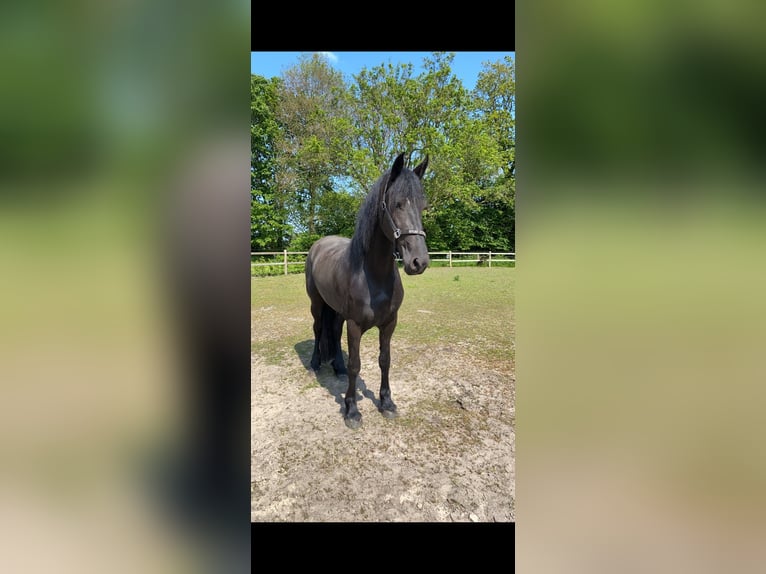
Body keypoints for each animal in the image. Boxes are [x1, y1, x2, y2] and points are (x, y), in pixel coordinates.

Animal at [305, 152, 430, 429]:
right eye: (397, 204)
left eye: (422, 206)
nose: (419, 262)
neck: (374, 276)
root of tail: (318, 244)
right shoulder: (355, 325)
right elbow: (356, 364)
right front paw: (351, 410)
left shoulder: (390, 323)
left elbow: (385, 360)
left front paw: (387, 403)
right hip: (317, 304)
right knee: (319, 330)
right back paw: (315, 364)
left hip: (337, 310)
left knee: (334, 332)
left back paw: (337, 368)